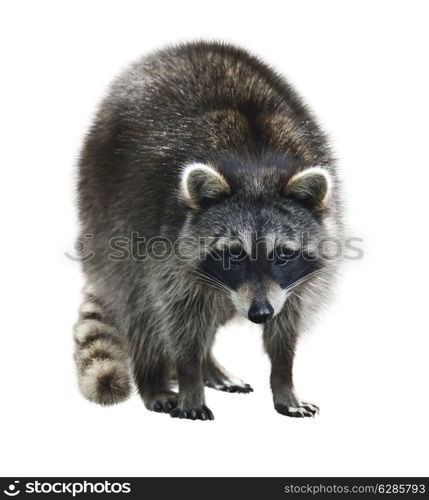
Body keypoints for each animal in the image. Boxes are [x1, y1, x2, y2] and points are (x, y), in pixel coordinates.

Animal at [73, 41, 342, 420]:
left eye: (283, 254)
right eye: (233, 254)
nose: (259, 314)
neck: (255, 167)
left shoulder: (291, 281)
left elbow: (286, 324)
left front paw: (284, 381)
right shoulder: (164, 242)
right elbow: (179, 318)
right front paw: (189, 380)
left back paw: (209, 366)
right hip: (105, 207)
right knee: (141, 305)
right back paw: (154, 380)